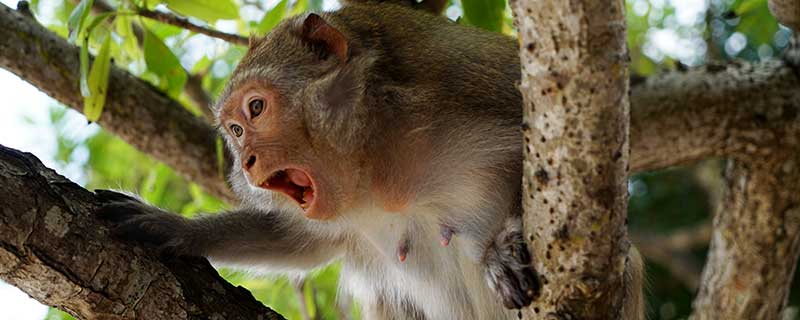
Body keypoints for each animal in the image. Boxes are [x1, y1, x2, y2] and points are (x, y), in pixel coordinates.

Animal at [95, 0, 644, 318]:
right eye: (233, 130)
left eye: (255, 109)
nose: (246, 160)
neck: (379, 162)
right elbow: (300, 243)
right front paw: (173, 228)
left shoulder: (480, 88)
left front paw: (504, 247)